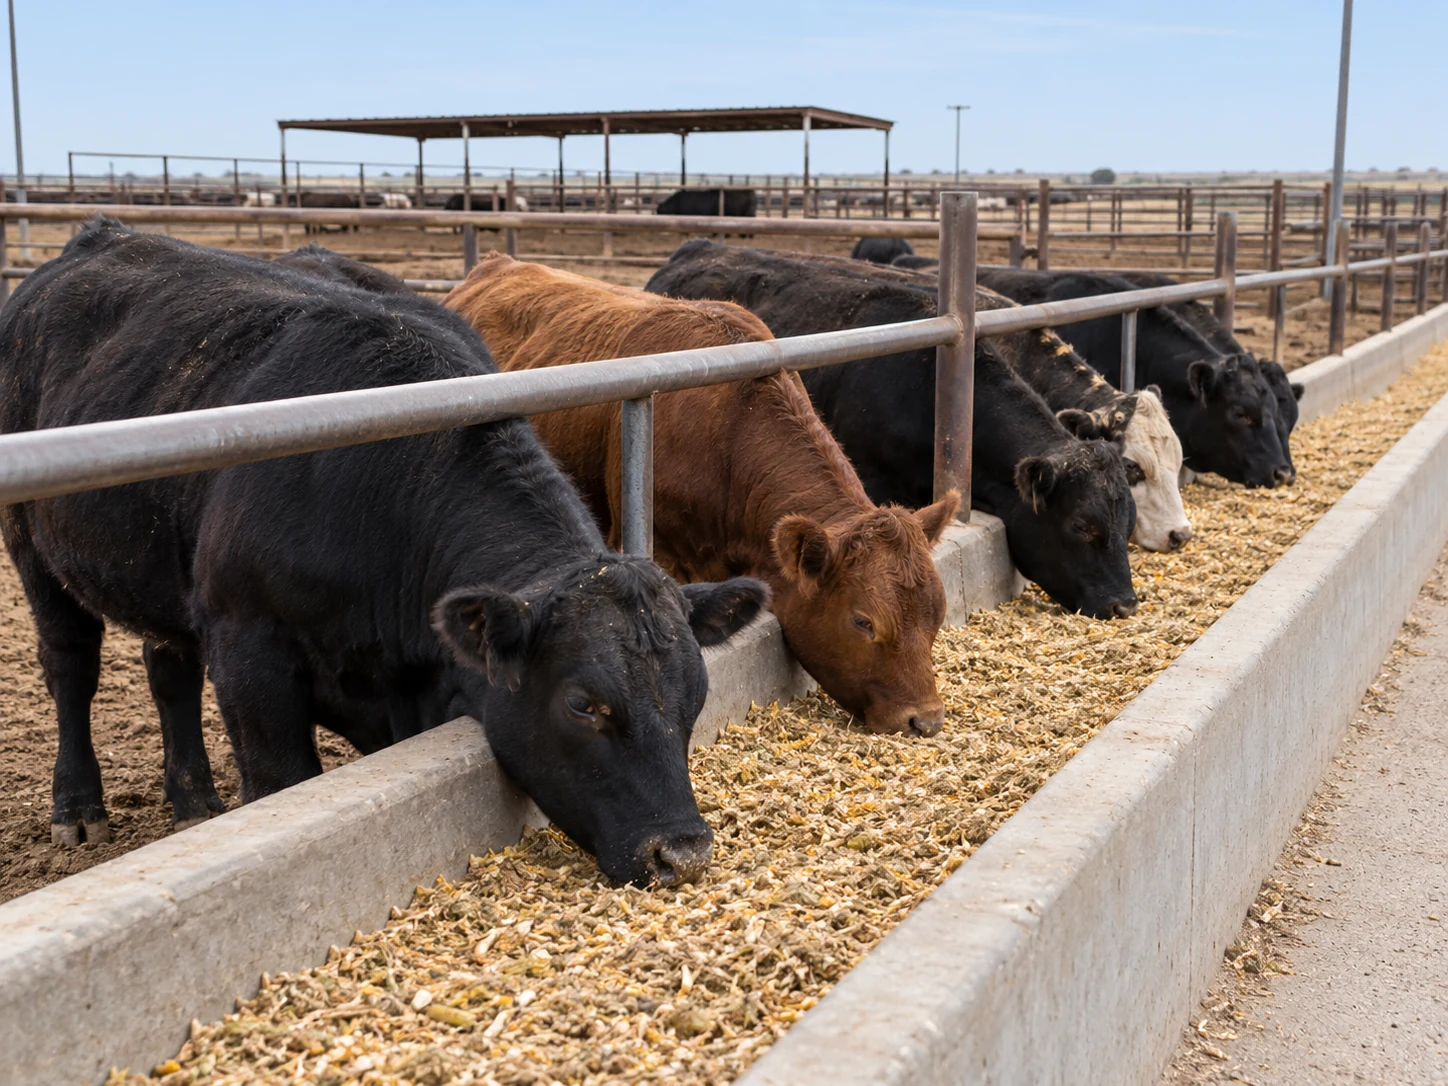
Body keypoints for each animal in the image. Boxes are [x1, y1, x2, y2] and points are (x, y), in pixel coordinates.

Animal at [0, 218, 766, 887]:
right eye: (584, 705)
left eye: (697, 692)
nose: (684, 853)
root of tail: (102, 235)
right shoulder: (248, 651)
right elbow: (283, 782)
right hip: (34, 550)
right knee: (70, 665)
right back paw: (78, 808)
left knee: (169, 671)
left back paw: (192, 800)